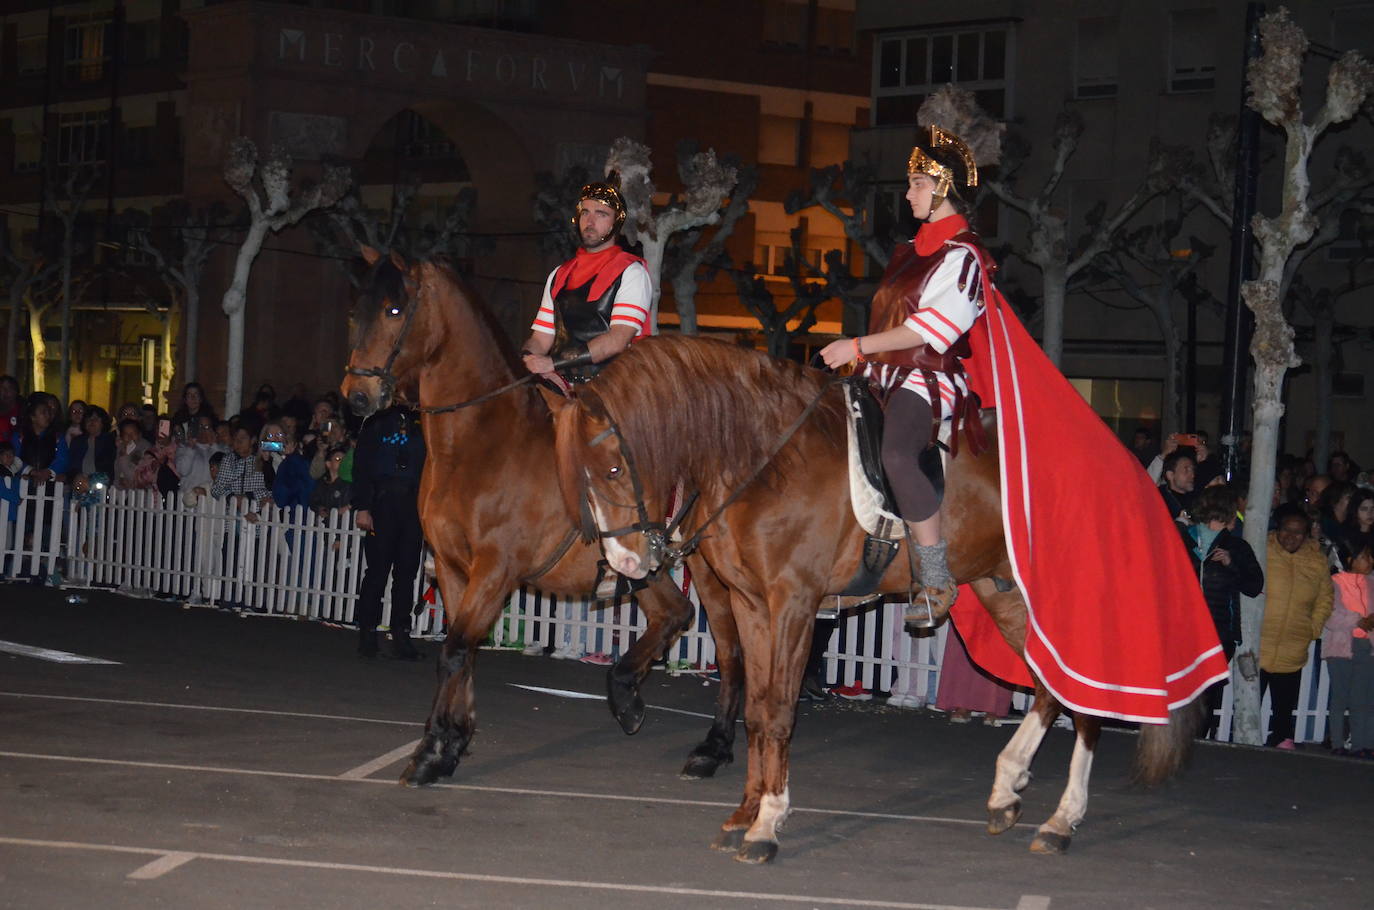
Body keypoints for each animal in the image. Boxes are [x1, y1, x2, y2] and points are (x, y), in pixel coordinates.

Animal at [340, 251, 752, 791]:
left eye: (393, 311)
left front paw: (432, 751)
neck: (484, 441)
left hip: (708, 570)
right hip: (640, 566)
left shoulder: (495, 570)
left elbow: (454, 650)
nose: (356, 397)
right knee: (674, 614)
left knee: (728, 650)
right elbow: (462, 652)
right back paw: (625, 694)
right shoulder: (452, 567)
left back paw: (713, 747)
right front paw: (453, 741)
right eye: (356, 313)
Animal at [546, 338, 1203, 868]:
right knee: (1048, 687)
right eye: (575, 475)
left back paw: (1062, 820)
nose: (626, 563)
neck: (765, 455)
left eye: (613, 467)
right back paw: (1007, 790)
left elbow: (779, 711)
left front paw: (766, 825)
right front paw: (743, 814)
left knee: (1083, 698)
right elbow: (758, 710)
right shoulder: (754, 606)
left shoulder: (794, 604)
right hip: (1002, 591)